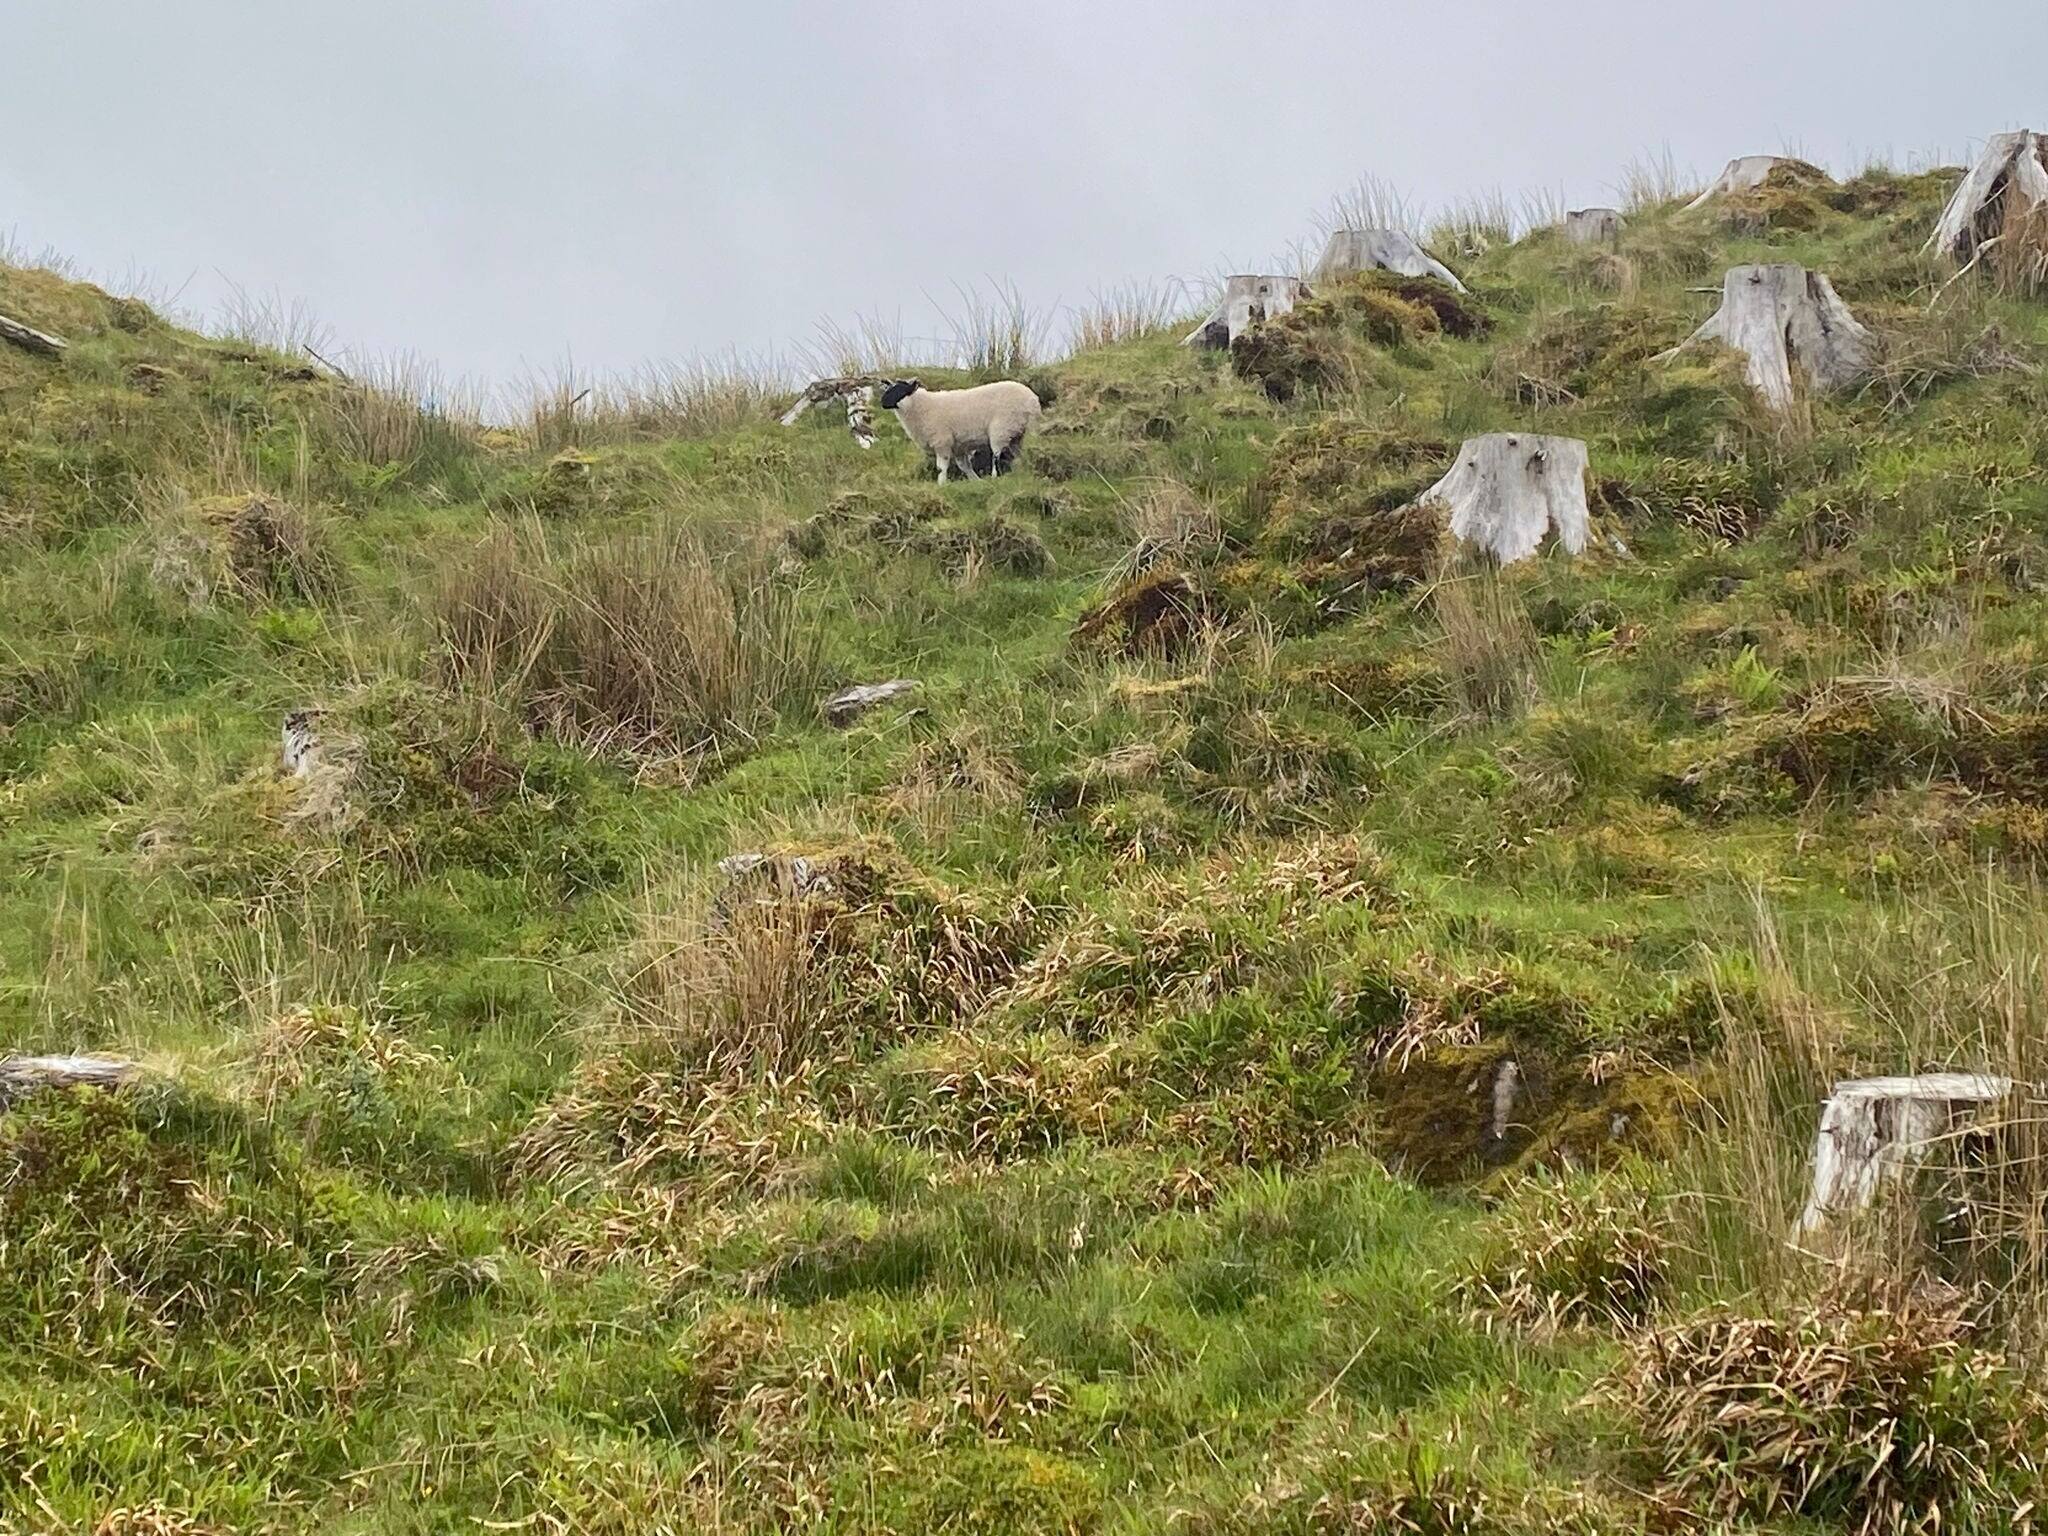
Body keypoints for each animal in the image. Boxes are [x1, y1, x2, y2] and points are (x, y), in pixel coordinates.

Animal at [879, 378, 1041, 483]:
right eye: (888, 389)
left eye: (900, 391)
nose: (882, 402)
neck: (919, 406)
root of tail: (1032, 399)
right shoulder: (959, 446)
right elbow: (964, 466)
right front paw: (976, 481)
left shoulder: (942, 441)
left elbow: (941, 467)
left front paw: (941, 484)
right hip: (1020, 433)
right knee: (1019, 456)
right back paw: (1021, 471)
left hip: (1001, 430)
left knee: (997, 457)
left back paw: (995, 478)